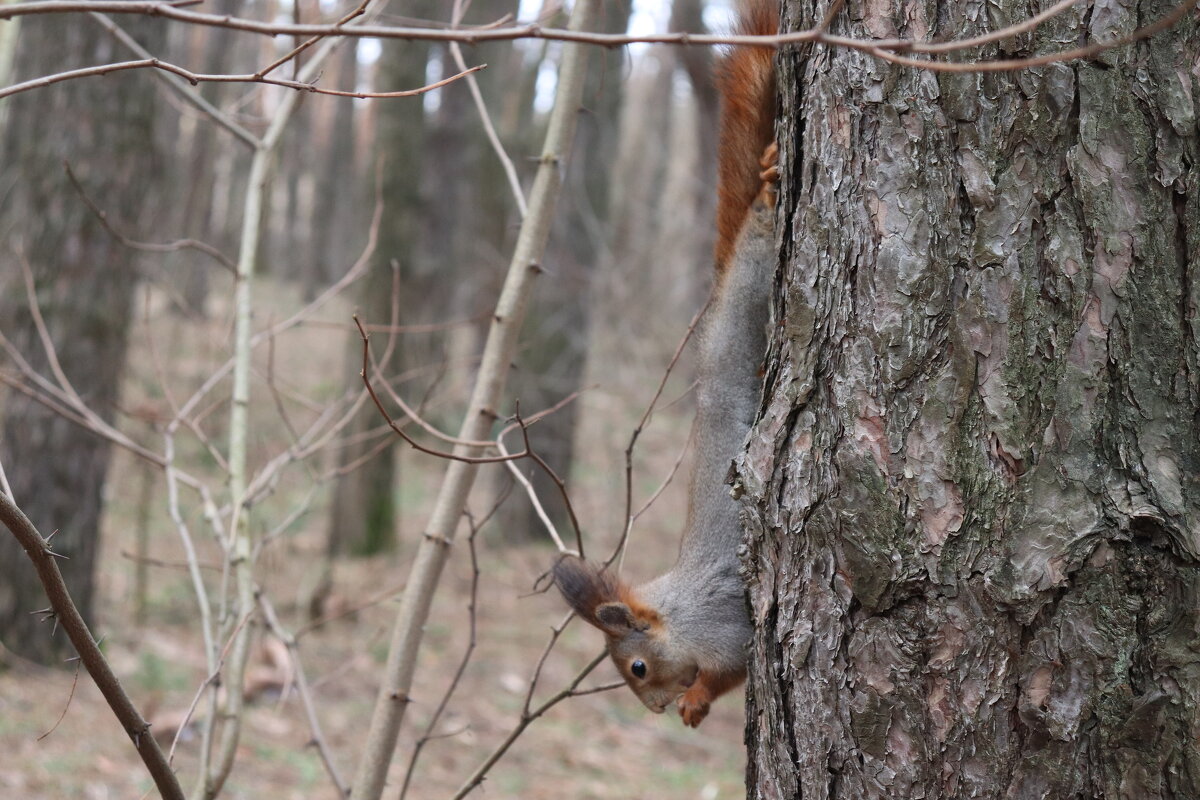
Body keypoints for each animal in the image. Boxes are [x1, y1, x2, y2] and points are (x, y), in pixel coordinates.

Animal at [552, 0, 777, 734]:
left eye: (638, 669)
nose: (651, 709)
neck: (676, 614)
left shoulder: (724, 632)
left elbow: (729, 672)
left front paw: (696, 703)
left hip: (752, 292)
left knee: (760, 233)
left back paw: (769, 189)